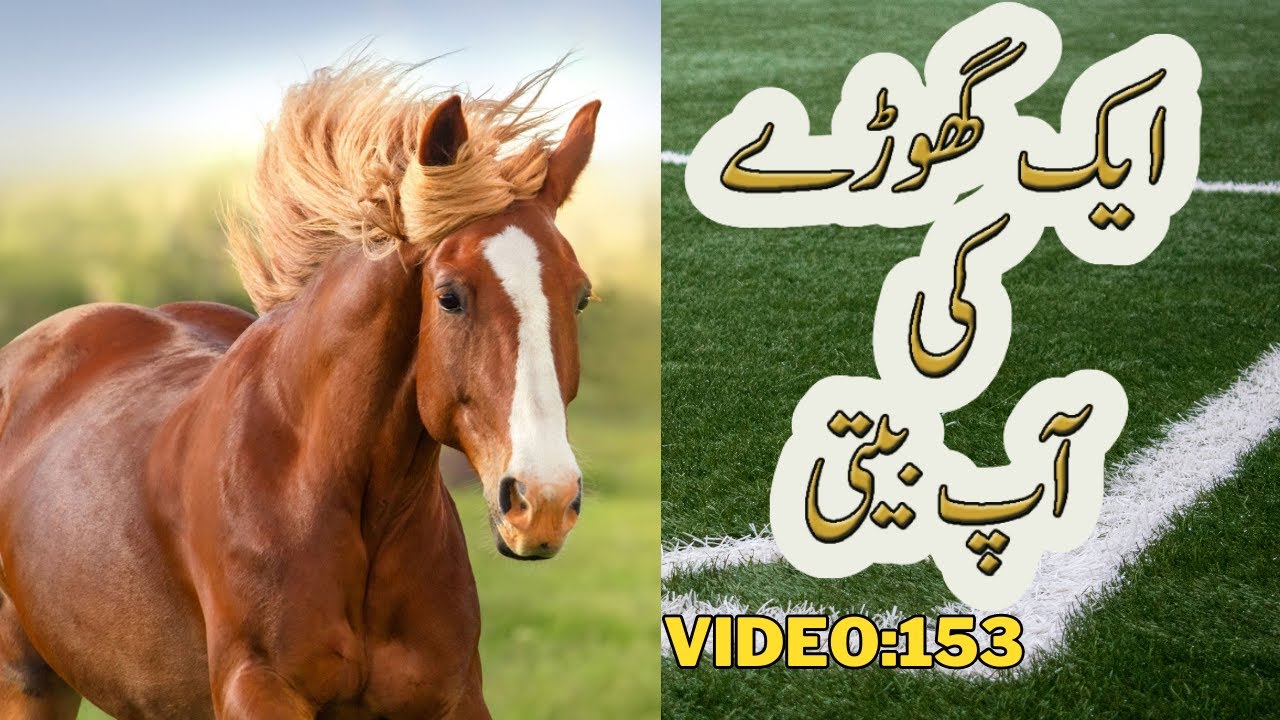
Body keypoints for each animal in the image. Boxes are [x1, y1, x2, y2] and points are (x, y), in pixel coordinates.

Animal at [0, 59, 600, 719]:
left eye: (580, 296)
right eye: (449, 296)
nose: (545, 502)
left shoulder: (456, 696)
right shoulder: (257, 689)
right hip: (28, 681)